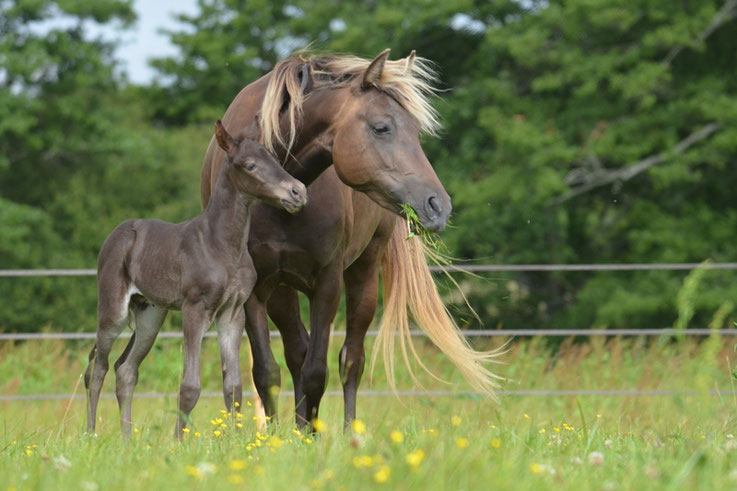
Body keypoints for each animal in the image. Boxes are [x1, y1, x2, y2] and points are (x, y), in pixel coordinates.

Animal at [200, 49, 500, 426]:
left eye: (416, 131)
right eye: (381, 127)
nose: (438, 206)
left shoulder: (328, 283)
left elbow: (318, 372)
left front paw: (312, 436)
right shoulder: (254, 289)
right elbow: (267, 373)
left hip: (364, 274)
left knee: (351, 361)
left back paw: (345, 431)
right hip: (281, 291)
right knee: (296, 352)